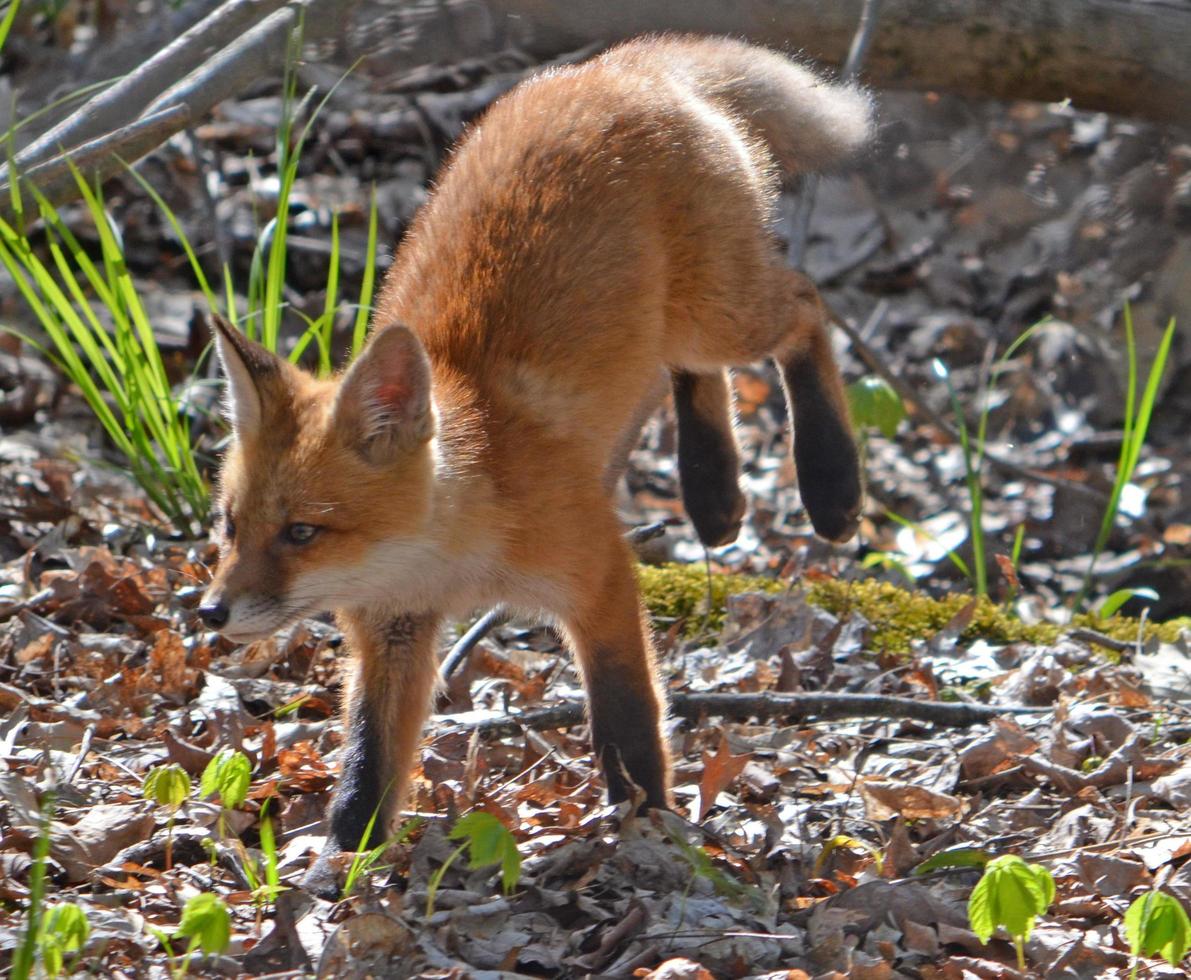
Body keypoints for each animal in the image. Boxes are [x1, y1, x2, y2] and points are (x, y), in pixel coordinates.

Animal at [200, 36, 871, 895]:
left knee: (804, 308)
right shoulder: (392, 630)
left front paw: (647, 826)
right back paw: (712, 490)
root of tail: (614, 66)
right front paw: (342, 866)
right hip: (676, 327)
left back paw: (828, 482)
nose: (210, 612)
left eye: (301, 533)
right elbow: (368, 764)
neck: (451, 554)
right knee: (693, 371)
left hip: (720, 310)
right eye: (229, 526)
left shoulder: (597, 574)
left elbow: (626, 717)